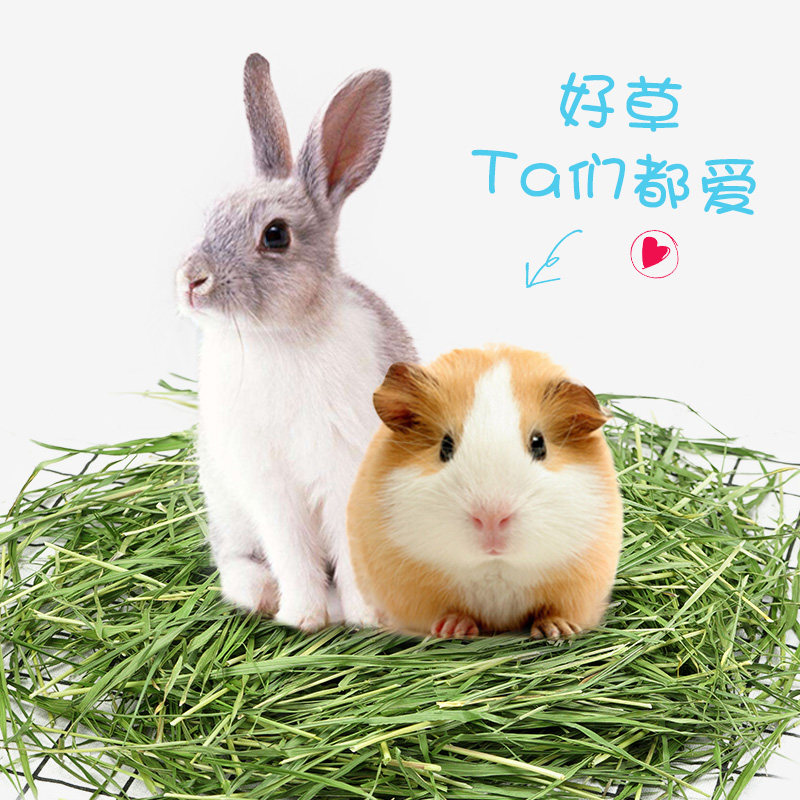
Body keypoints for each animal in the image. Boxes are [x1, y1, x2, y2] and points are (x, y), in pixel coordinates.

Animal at [176, 53, 416, 632]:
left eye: (276, 235)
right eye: (211, 216)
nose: (191, 281)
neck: (278, 338)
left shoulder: (345, 475)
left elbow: (348, 555)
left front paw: (361, 618)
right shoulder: (269, 490)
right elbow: (291, 552)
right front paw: (304, 617)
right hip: (228, 507)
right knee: (236, 558)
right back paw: (259, 594)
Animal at [347, 345, 623, 639]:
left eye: (539, 444)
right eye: (445, 446)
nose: (491, 517)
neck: (495, 567)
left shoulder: (579, 582)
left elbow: (555, 610)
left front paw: (558, 631)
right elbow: (443, 613)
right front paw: (453, 629)